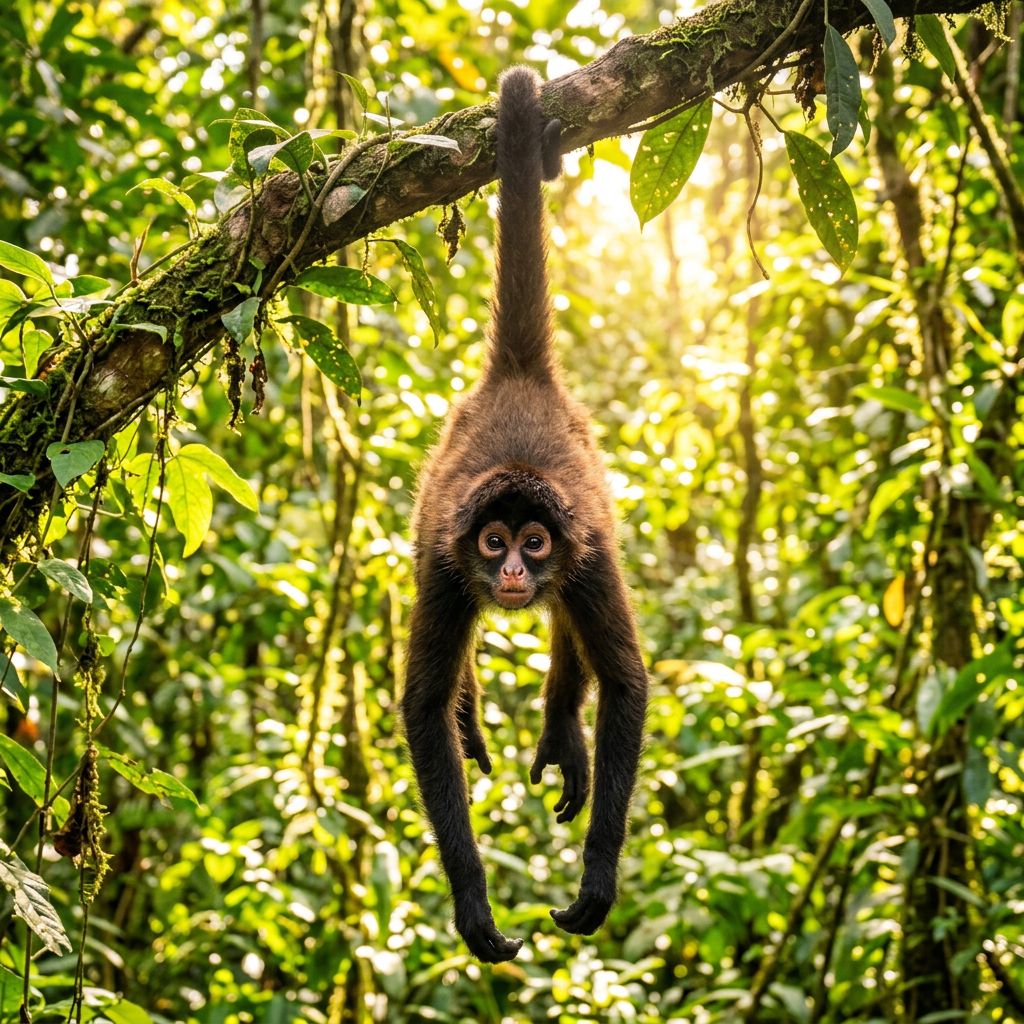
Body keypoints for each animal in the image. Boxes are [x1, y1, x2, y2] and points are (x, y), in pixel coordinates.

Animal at [401, 66, 648, 963]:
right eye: (496, 540)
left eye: (532, 542)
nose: (511, 569)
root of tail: (516, 377)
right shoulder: (448, 559)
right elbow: (421, 707)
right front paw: (473, 900)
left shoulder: (587, 551)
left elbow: (627, 681)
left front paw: (597, 878)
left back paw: (561, 726)